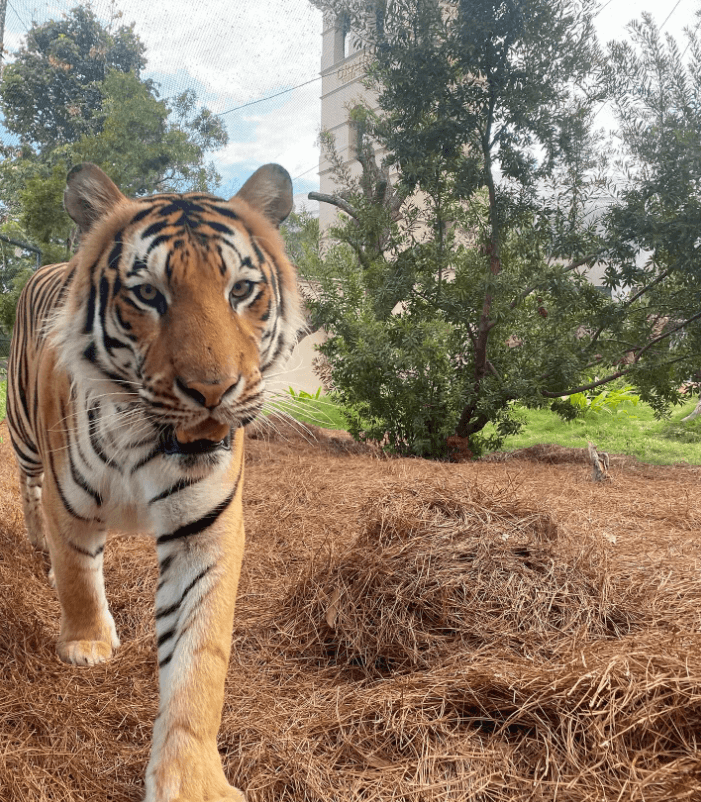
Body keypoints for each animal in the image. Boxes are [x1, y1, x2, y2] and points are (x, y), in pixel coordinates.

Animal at [6, 159, 300, 796]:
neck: (145, 441)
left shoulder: (204, 532)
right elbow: (77, 574)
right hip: (23, 437)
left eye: (241, 290)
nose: (213, 392)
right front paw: (87, 643)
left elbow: (198, 660)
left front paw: (193, 782)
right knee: (29, 494)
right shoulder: (69, 503)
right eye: (148, 294)